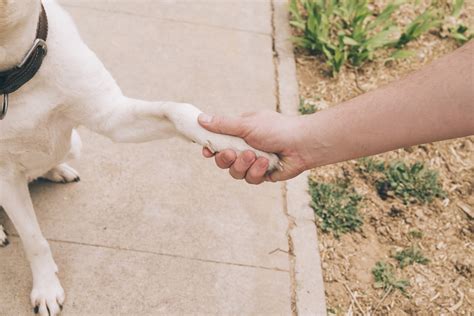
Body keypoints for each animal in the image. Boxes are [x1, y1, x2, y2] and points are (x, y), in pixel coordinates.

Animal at [0, 1, 280, 314]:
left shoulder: (112, 117)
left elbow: (177, 110)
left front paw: (243, 145)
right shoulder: (6, 178)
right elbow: (34, 240)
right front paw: (46, 288)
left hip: (74, 143)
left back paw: (56, 169)